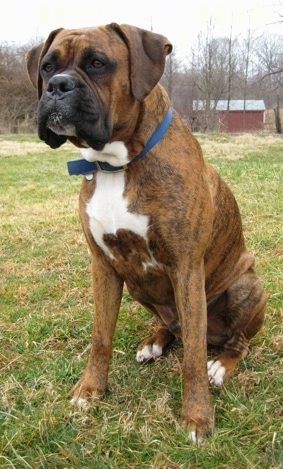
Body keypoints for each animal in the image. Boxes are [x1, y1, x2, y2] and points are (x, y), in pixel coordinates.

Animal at [25, 23, 268, 442]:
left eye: (98, 63)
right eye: (47, 67)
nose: (57, 85)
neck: (115, 165)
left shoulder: (186, 268)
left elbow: (192, 359)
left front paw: (197, 418)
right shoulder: (104, 266)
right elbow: (100, 337)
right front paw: (90, 390)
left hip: (246, 286)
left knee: (233, 342)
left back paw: (221, 365)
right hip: (140, 285)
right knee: (175, 327)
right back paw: (155, 342)